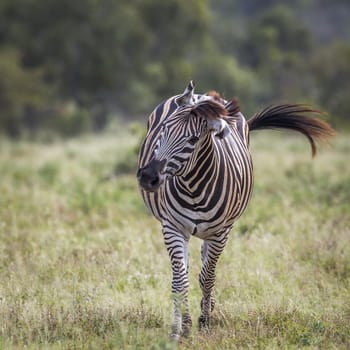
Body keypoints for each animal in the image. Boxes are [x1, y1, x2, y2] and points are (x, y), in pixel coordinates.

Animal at [135, 81, 334, 340]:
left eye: (193, 139)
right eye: (164, 129)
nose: (148, 177)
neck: (193, 186)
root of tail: (200, 96)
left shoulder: (222, 232)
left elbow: (207, 277)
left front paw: (204, 322)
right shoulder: (172, 227)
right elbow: (180, 280)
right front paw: (183, 328)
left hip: (214, 231)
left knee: (205, 268)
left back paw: (208, 308)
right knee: (186, 270)